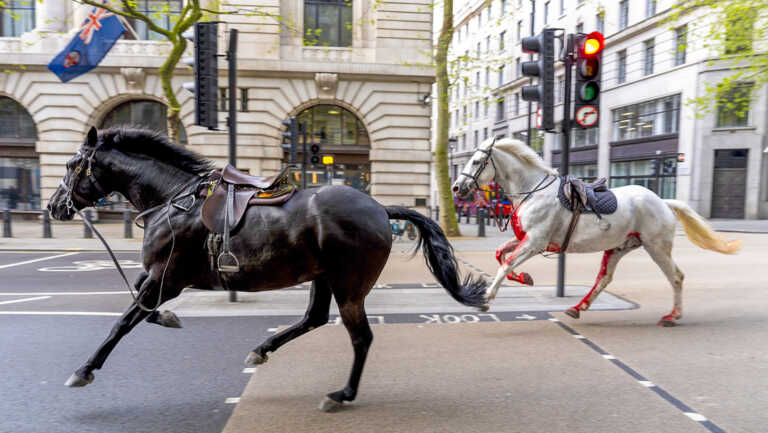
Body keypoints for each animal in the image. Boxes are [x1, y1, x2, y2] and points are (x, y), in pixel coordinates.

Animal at [48, 126, 486, 410]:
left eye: (71, 164)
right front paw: (168, 318)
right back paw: (262, 350)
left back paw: (341, 394)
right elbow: (139, 305)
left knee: (360, 337)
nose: (53, 207)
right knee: (314, 318)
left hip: (349, 286)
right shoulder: (159, 277)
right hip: (323, 278)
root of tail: (380, 208)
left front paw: (84, 370)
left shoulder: (166, 278)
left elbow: (123, 321)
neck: (173, 200)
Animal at [452, 137, 740, 326]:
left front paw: (487, 297)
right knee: (604, 278)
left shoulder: (535, 242)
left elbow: (506, 264)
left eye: (476, 161)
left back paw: (673, 316)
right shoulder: (525, 239)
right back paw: (578, 307)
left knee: (676, 277)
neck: (533, 190)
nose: (456, 187)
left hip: (656, 247)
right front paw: (525, 278)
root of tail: (663, 202)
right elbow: (501, 255)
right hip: (619, 247)